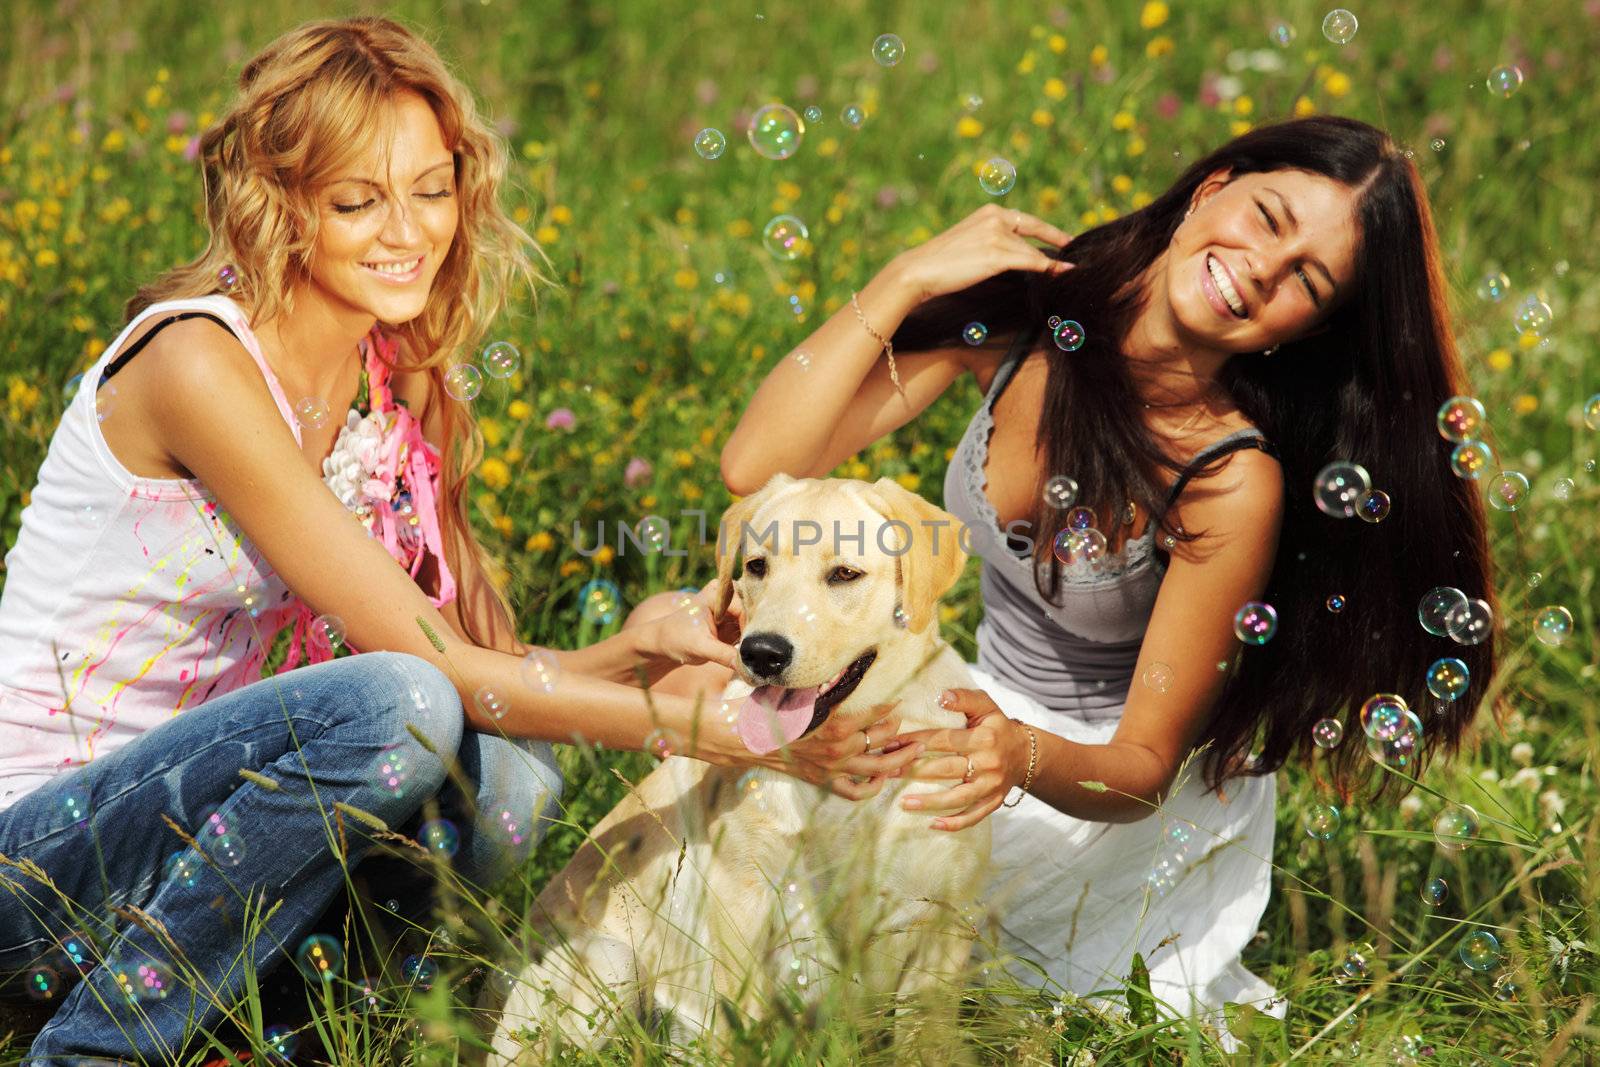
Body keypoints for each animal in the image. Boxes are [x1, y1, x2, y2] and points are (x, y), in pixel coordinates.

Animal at [480, 476, 992, 1062]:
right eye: (756, 566)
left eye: (844, 574)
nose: (761, 653)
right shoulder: (742, 904)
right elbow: (738, 1026)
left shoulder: (943, 923)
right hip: (611, 964)